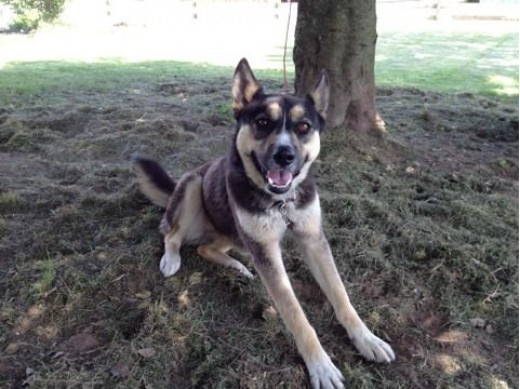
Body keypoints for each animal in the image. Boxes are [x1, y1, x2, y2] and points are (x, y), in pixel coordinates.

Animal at [133, 58, 394, 388]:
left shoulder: (313, 240)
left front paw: (366, 338)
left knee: (206, 248)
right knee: (171, 233)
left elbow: (340, 294)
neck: (281, 203)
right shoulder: (266, 253)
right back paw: (172, 258)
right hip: (193, 186)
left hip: (233, 233)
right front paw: (320, 365)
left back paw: (238, 266)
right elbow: (297, 316)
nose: (284, 155)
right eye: (262, 123)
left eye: (304, 127)